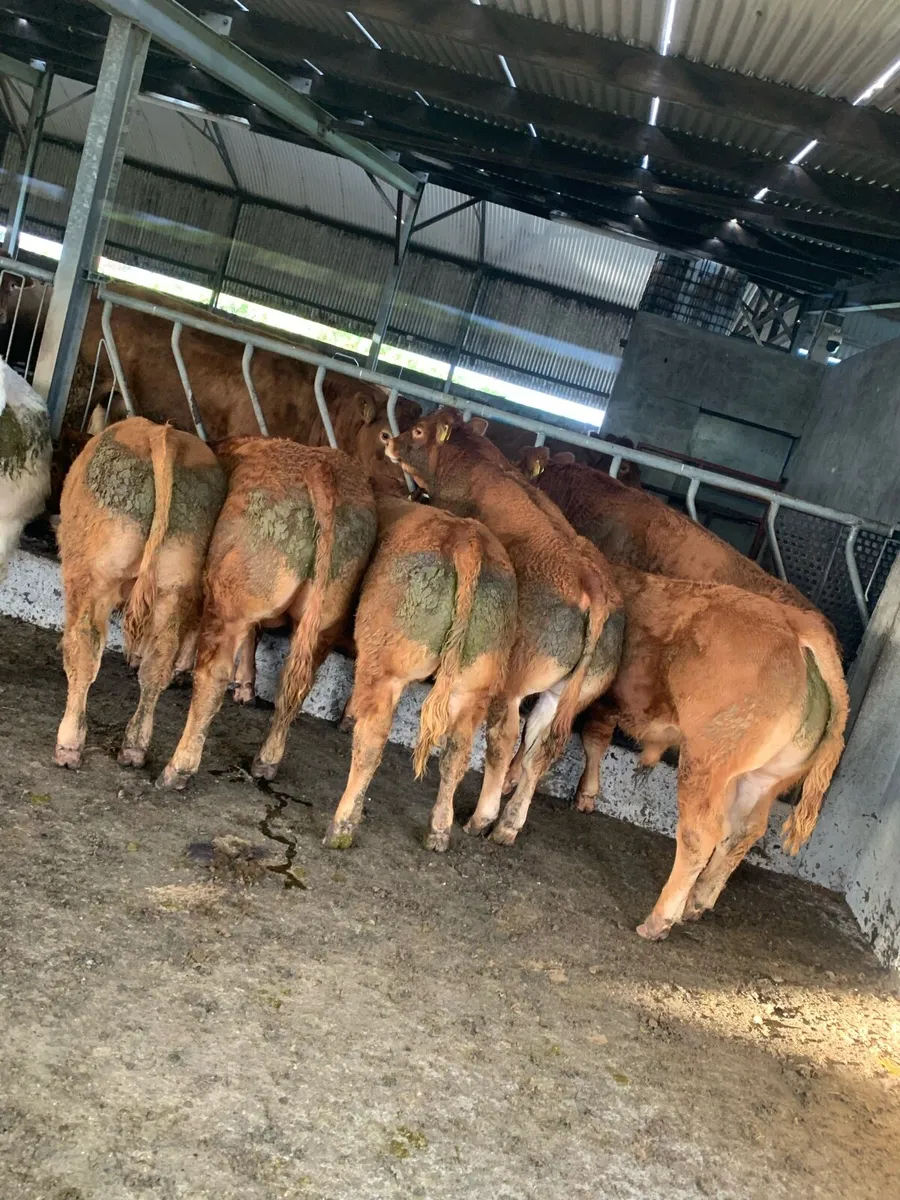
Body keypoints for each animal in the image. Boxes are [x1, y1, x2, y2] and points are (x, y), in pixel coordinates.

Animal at [54, 417, 227, 769]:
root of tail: (161, 434)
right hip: (173, 586)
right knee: (158, 661)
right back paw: (134, 746)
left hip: (95, 578)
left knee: (85, 647)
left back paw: (69, 744)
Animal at [158, 439, 377, 789]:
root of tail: (320, 467)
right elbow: (254, 635)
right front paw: (246, 686)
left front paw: (180, 669)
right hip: (326, 617)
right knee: (295, 685)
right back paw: (266, 761)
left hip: (232, 595)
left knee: (213, 675)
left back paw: (178, 768)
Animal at [324, 495, 517, 851]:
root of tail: (468, 539)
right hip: (475, 682)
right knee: (457, 754)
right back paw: (439, 830)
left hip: (386, 667)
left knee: (371, 743)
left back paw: (342, 825)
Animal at [386, 407, 624, 846]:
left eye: (418, 430)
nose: (389, 441)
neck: (479, 465)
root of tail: (593, 586)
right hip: (566, 693)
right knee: (539, 750)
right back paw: (508, 825)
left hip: (513, 681)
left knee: (504, 739)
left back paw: (483, 816)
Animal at [578, 566, 847, 940]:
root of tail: (792, 622)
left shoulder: (605, 703)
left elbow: (593, 740)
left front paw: (585, 796)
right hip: (762, 777)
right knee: (744, 831)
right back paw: (697, 902)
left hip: (704, 759)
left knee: (700, 835)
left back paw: (659, 920)